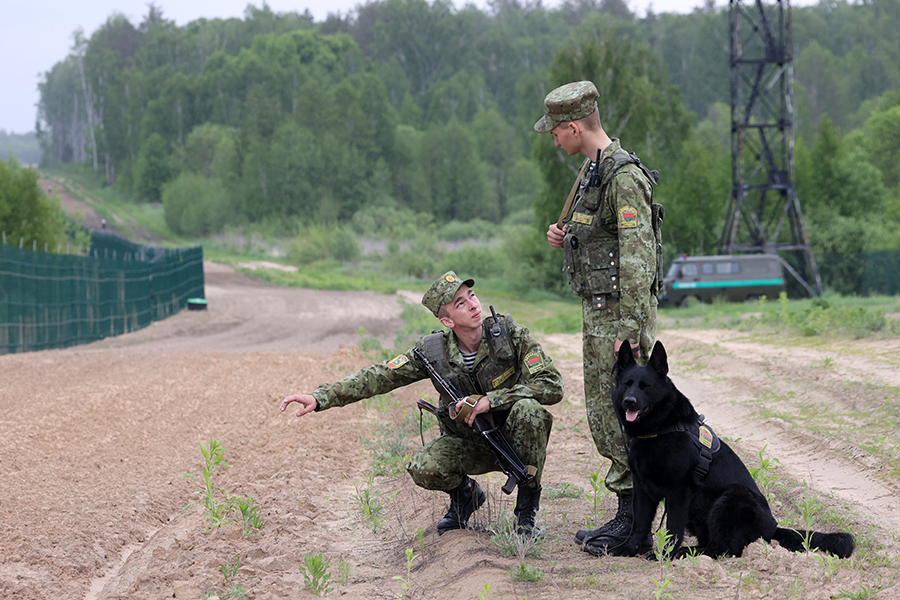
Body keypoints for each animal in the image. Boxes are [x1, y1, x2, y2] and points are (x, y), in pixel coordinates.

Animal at [612, 340, 852, 560]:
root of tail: (773, 528)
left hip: (733, 496)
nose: (629, 401)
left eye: (645, 386)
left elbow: (672, 529)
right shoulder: (642, 489)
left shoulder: (678, 491)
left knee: (726, 549)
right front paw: (630, 549)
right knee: (714, 543)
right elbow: (640, 523)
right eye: (627, 384)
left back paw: (686, 552)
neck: (659, 430)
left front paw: (665, 555)